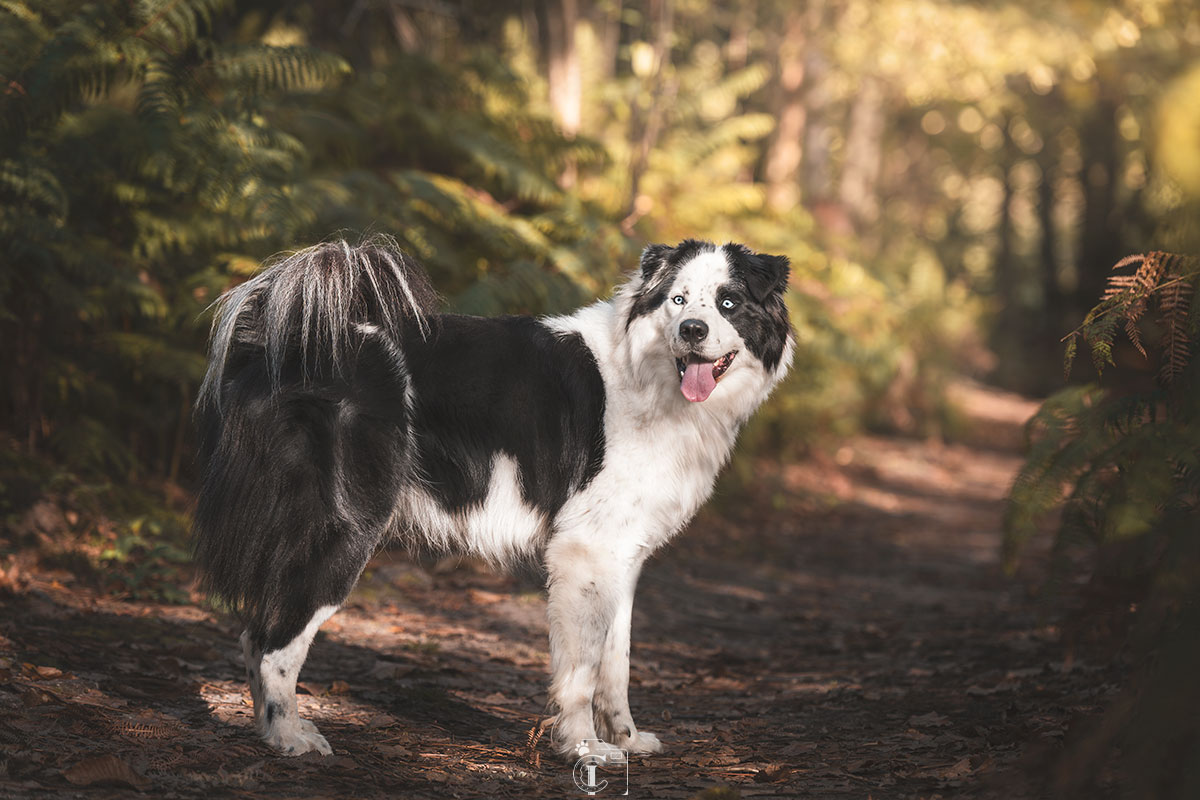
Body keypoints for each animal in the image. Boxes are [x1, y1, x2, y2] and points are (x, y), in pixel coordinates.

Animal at [194, 235, 796, 762]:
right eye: (678, 300)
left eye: (728, 303)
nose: (693, 330)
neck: (645, 373)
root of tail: (282, 337)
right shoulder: (584, 551)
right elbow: (581, 668)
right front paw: (583, 748)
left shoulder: (621, 556)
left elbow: (616, 661)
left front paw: (626, 739)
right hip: (347, 527)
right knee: (274, 642)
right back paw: (289, 738)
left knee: (252, 634)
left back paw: (270, 731)